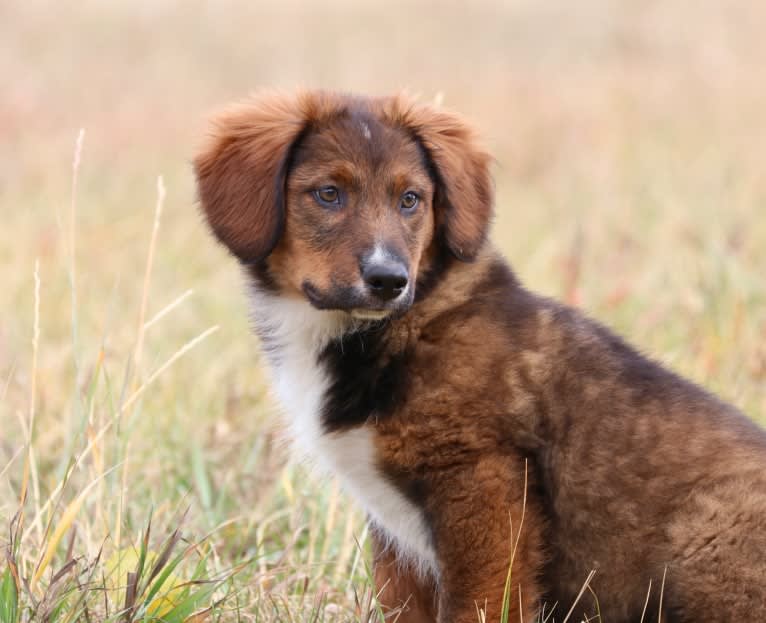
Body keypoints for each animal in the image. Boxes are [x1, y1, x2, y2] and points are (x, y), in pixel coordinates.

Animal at [195, 91, 766, 623]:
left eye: (410, 199)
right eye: (328, 194)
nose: (388, 280)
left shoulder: (480, 480)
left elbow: (480, 605)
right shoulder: (398, 536)